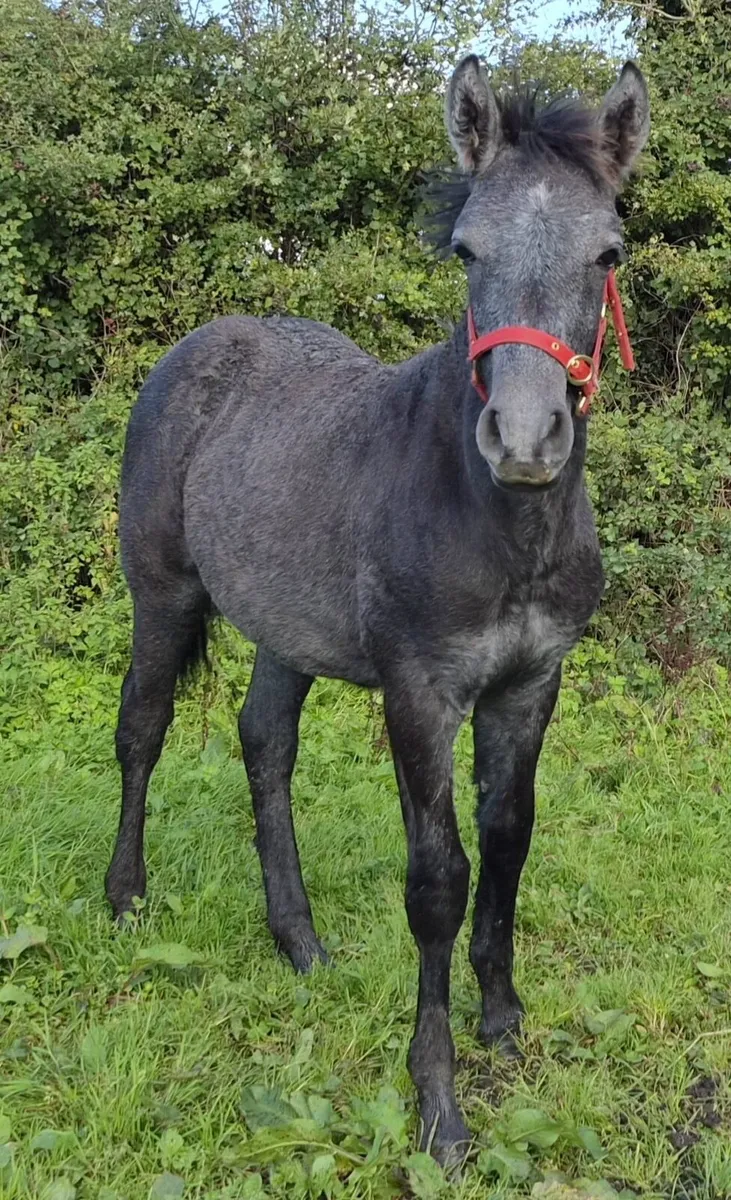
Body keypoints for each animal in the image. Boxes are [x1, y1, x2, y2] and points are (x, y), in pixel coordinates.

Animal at [107, 54, 650, 1163]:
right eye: (465, 249)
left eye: (606, 252)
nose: (522, 440)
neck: (501, 527)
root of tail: (205, 342)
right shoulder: (419, 693)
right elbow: (436, 879)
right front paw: (438, 1105)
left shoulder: (529, 683)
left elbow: (510, 837)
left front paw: (502, 1019)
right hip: (163, 594)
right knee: (142, 729)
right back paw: (127, 900)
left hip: (283, 628)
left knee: (263, 743)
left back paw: (300, 942)